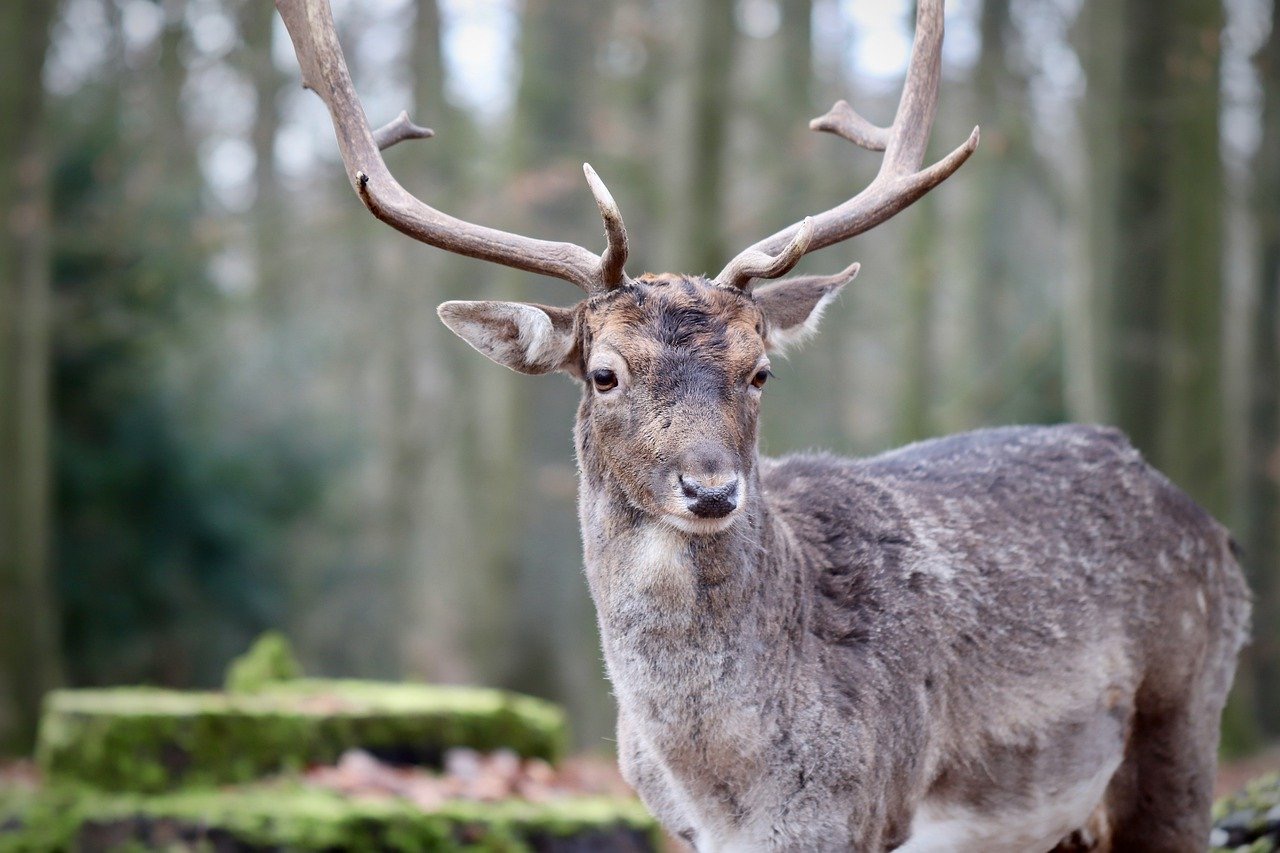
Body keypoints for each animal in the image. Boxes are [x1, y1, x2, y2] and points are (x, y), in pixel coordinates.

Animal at [275, 3, 1244, 845]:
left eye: (760, 369)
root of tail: (1214, 528)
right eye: (604, 373)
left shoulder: (865, 811)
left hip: (1183, 719)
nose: (710, 489)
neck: (732, 783)